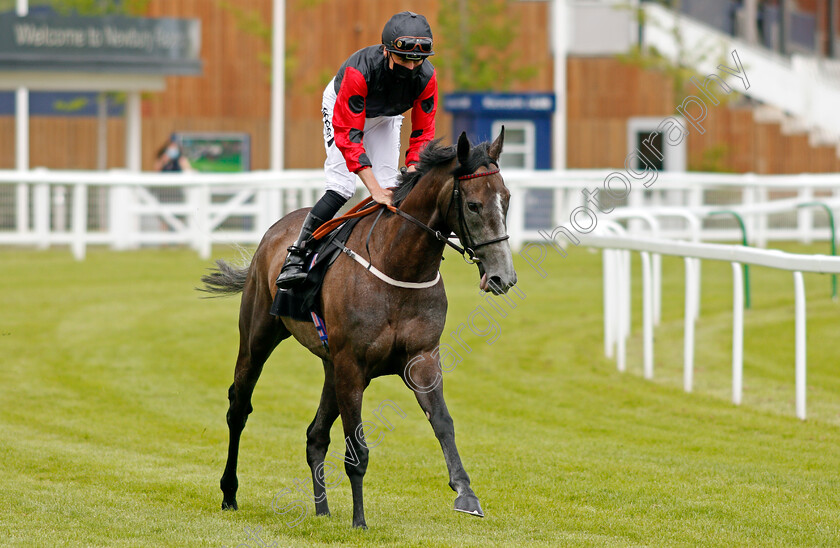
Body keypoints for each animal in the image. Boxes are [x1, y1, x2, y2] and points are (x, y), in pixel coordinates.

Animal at [202, 128, 520, 528]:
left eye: (506, 199)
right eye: (474, 205)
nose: (503, 277)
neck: (398, 266)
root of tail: (276, 229)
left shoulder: (420, 359)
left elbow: (442, 422)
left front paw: (466, 493)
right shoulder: (352, 366)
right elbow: (357, 449)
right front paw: (359, 520)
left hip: (331, 368)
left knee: (315, 435)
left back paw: (322, 510)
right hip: (259, 337)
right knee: (239, 408)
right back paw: (229, 493)